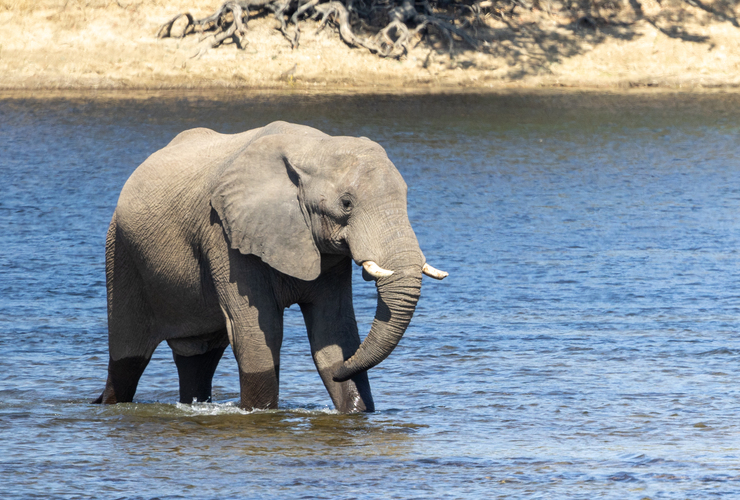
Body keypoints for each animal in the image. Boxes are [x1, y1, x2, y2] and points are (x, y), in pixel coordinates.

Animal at [93, 121, 447, 413]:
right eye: (346, 203)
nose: (342, 373)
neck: (313, 148)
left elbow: (333, 331)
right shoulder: (224, 235)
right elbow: (258, 335)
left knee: (198, 359)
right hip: (121, 252)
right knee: (127, 361)